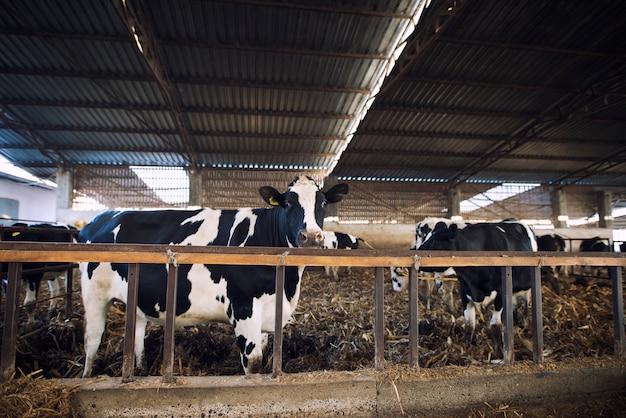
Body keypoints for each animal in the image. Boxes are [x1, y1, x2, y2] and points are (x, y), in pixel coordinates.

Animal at [77, 175, 346, 378]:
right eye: (288, 204)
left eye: (323, 203)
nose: (310, 236)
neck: (288, 285)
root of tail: (98, 218)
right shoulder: (243, 309)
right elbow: (253, 364)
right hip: (94, 293)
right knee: (92, 339)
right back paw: (87, 376)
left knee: (136, 333)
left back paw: (140, 369)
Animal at [414, 219, 536, 360]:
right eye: (425, 238)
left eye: (433, 242)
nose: (413, 252)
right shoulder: (465, 290)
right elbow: (469, 325)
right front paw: (466, 350)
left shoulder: (501, 293)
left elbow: (495, 326)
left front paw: (498, 353)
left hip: (527, 286)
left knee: (526, 302)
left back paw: (523, 322)